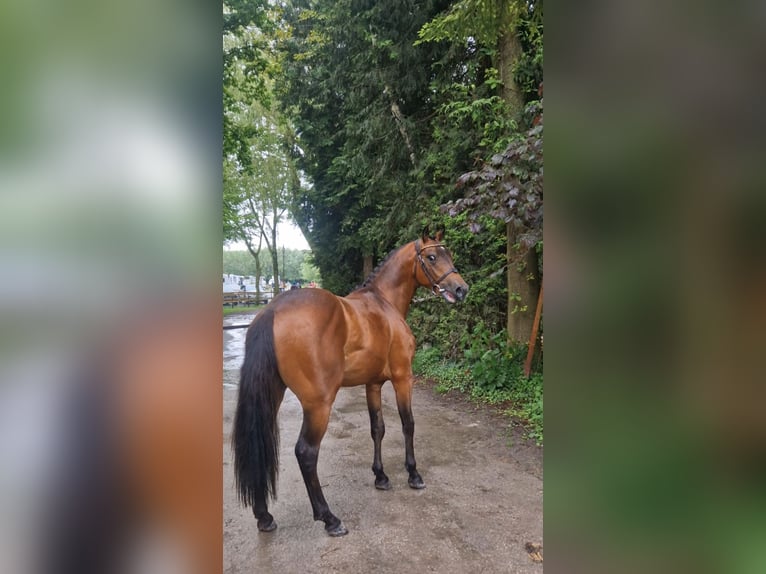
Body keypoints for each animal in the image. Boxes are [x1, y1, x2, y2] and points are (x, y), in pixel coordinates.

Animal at [231, 232, 468, 536]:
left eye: (448, 254)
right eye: (432, 257)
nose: (461, 289)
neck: (384, 303)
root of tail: (272, 310)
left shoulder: (373, 384)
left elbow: (377, 428)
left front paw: (380, 476)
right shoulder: (403, 377)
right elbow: (408, 424)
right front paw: (413, 474)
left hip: (273, 395)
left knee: (259, 445)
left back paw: (264, 516)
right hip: (319, 405)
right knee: (306, 452)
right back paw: (329, 518)